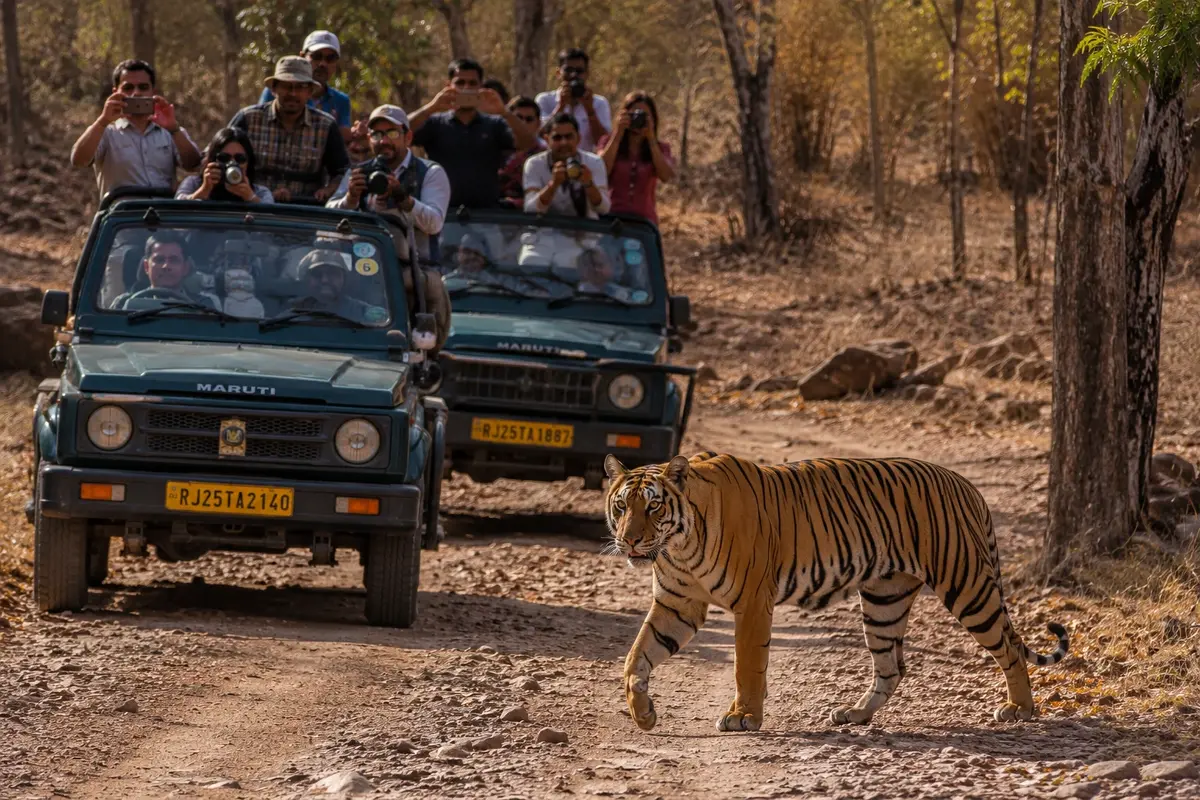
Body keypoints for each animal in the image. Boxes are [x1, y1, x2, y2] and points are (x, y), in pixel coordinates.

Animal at [603, 451, 1069, 733]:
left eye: (654, 506)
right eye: (622, 506)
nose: (629, 541)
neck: (680, 545)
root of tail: (966, 484)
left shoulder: (752, 603)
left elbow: (746, 666)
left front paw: (744, 717)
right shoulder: (677, 604)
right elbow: (636, 657)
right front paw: (643, 714)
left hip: (966, 585)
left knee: (1008, 647)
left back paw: (1020, 709)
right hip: (884, 599)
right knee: (891, 667)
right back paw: (855, 714)